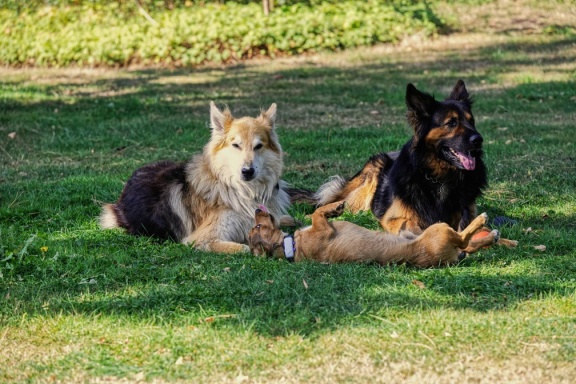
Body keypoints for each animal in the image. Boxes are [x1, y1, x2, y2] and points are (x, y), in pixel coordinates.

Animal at [99, 100, 294, 254]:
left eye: (258, 146)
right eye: (236, 145)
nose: (247, 171)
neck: (242, 191)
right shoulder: (201, 239)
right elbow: (244, 248)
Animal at [248, 201, 500, 268]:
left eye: (257, 226)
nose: (256, 210)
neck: (290, 247)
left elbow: (317, 211)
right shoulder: (322, 227)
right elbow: (317, 212)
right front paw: (335, 206)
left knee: (469, 245)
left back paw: (491, 236)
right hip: (440, 230)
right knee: (464, 239)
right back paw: (482, 222)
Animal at [316, 79, 516, 250]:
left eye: (471, 121)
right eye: (451, 123)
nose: (478, 140)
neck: (440, 178)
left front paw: (505, 240)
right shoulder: (393, 217)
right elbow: (413, 226)